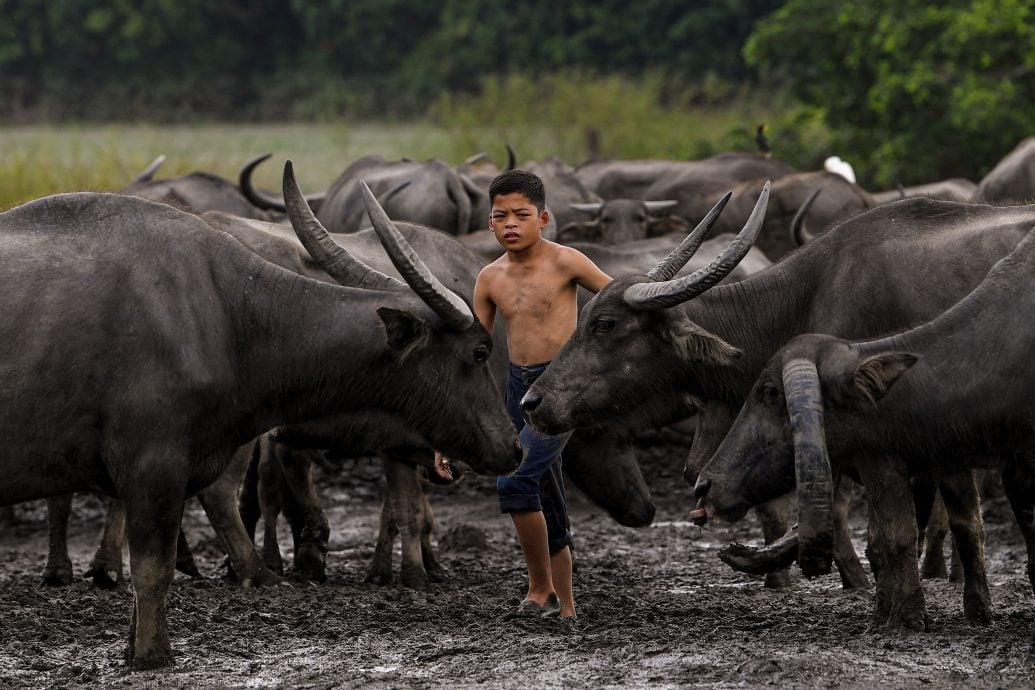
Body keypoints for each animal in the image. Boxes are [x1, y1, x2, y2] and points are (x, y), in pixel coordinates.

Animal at [0, 164, 517, 666]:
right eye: (479, 351)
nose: (511, 445)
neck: (231, 316)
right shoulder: (154, 469)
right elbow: (153, 570)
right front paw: (153, 655)